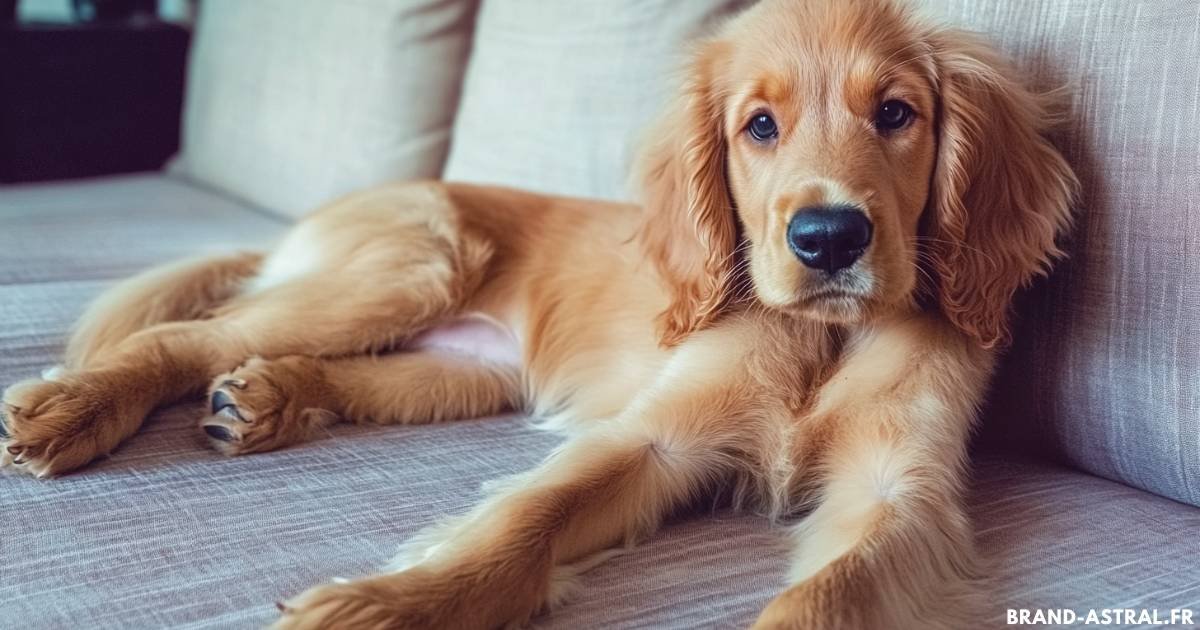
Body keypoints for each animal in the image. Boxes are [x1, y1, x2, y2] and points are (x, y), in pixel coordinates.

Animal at [0, 0, 1070, 624]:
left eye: (896, 113)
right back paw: (72, 408)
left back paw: (263, 399)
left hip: (463, 368)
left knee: (329, 369)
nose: (829, 238)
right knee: (189, 335)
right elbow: (524, 519)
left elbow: (826, 599)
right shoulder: (654, 438)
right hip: (409, 268)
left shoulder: (900, 496)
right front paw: (395, 603)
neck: (823, 339)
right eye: (759, 127)